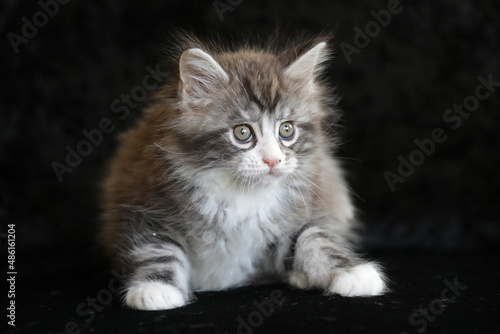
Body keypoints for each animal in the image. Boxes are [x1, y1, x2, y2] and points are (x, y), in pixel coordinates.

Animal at [97, 32, 386, 310]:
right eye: (243, 132)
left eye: (287, 129)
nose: (272, 160)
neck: (243, 195)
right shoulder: (145, 206)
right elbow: (159, 248)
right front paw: (156, 289)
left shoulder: (305, 210)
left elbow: (317, 238)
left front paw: (353, 273)